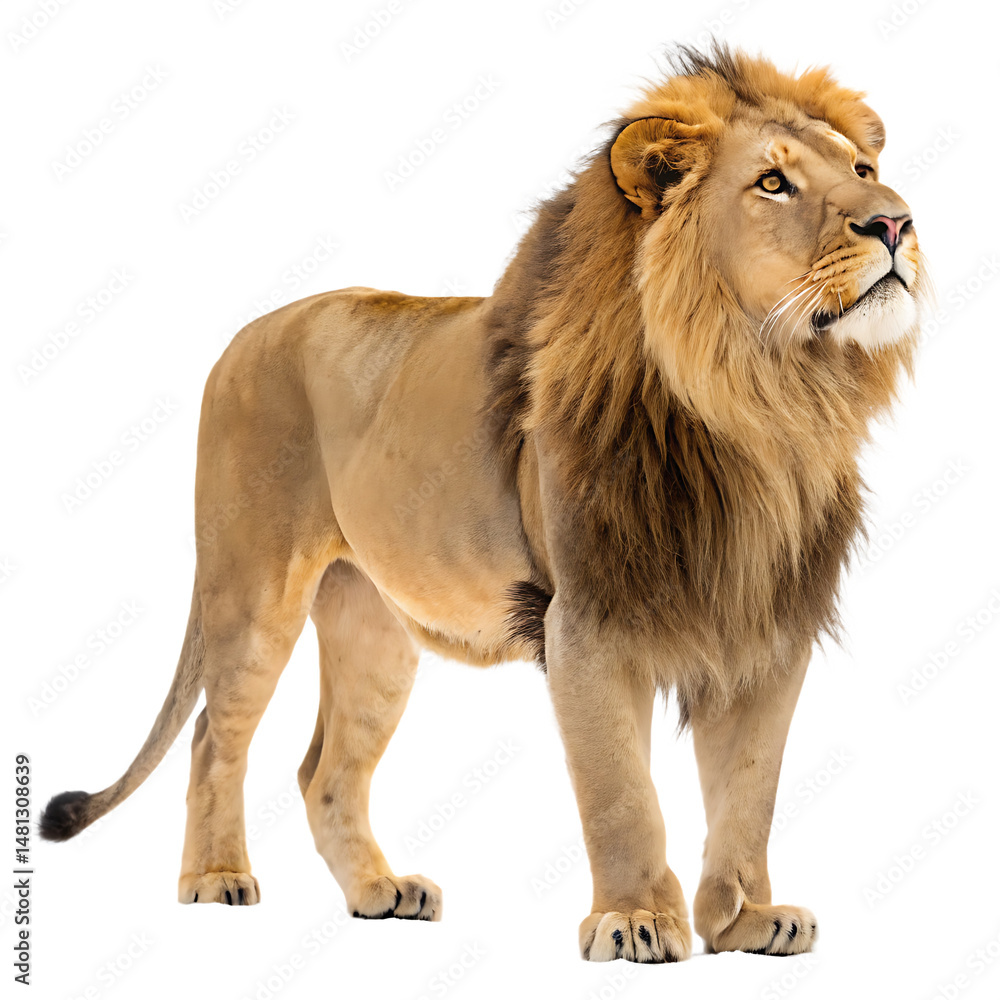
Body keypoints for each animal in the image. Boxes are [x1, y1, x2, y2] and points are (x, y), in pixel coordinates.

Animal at [41, 43, 926, 962]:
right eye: (773, 184)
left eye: (863, 171)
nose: (897, 223)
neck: (759, 399)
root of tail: (236, 340)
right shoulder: (588, 621)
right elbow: (622, 794)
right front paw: (637, 921)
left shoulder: (767, 626)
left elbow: (749, 793)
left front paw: (747, 918)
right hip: (251, 590)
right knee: (216, 736)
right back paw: (215, 877)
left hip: (373, 626)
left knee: (324, 771)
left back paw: (380, 891)